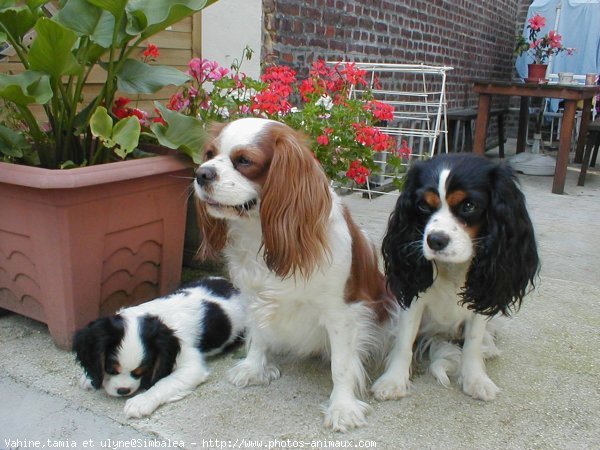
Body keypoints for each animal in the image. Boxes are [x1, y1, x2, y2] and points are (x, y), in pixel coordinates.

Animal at [73, 278, 246, 418]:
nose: (123, 390)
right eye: (111, 369)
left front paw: (141, 401)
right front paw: (90, 377)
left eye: (141, 372)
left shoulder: (190, 366)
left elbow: (165, 382)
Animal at [193, 118, 394, 430]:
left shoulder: (342, 313)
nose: (201, 173)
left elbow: (342, 365)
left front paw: (342, 406)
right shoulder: (254, 296)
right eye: (209, 154)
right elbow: (258, 335)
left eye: (244, 161)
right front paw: (254, 368)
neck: (261, 233)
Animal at [376, 154, 540, 400]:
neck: (451, 268)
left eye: (469, 206)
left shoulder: (481, 296)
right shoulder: (413, 297)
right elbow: (404, 340)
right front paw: (394, 380)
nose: (435, 240)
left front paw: (476, 380)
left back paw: (489, 348)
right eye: (422, 205)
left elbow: (473, 341)